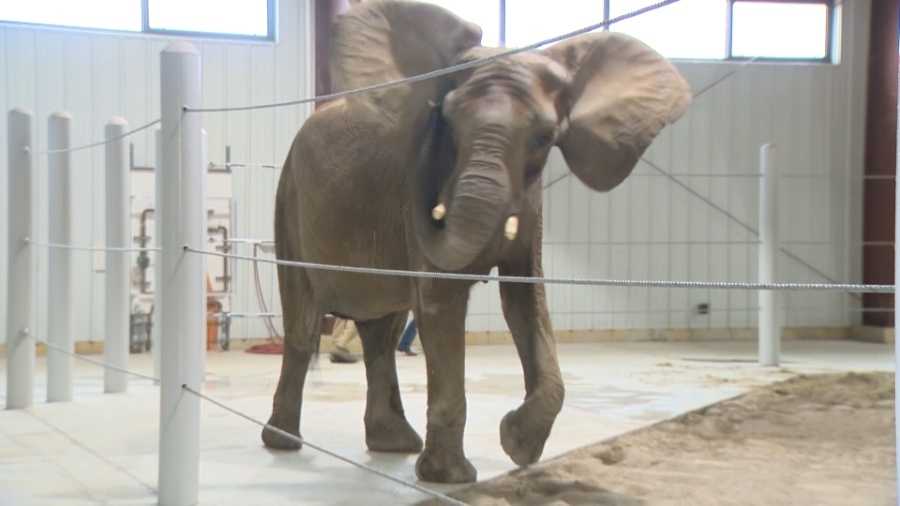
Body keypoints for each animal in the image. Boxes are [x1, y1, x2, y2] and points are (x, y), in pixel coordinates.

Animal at [263, 0, 691, 484]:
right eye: (445, 123)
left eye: (544, 138)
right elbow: (441, 299)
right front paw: (450, 477)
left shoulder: (532, 202)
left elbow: (526, 300)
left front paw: (517, 445)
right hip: (289, 201)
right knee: (303, 322)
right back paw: (285, 443)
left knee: (381, 331)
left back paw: (394, 445)